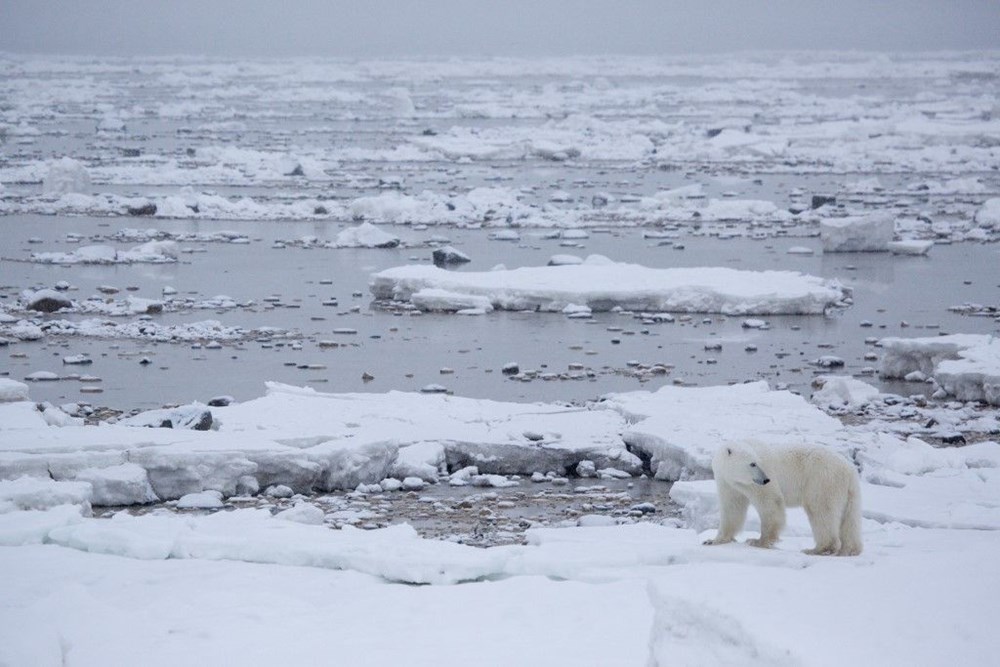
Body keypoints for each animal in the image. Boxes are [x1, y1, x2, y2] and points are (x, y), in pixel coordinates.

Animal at [704, 440, 860, 556]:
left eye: (758, 462)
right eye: (752, 464)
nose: (766, 479)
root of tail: (850, 470)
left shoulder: (756, 484)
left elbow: (770, 502)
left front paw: (758, 541)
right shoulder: (728, 484)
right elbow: (732, 509)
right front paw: (713, 541)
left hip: (822, 480)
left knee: (820, 511)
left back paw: (817, 549)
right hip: (847, 492)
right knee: (849, 519)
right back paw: (849, 550)